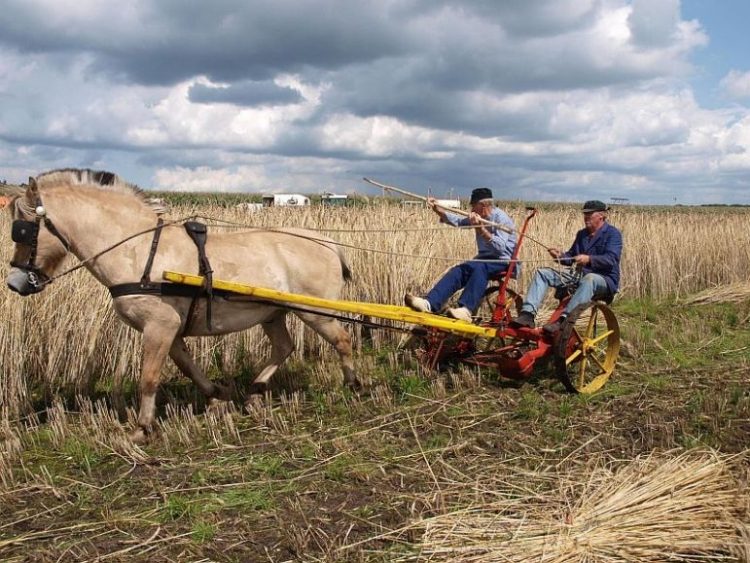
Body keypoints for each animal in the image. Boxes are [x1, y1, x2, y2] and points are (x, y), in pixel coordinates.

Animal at [4, 170, 360, 442]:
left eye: (22, 230)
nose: (14, 282)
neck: (139, 250)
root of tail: (329, 243)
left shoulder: (159, 325)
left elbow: (149, 376)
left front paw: (142, 429)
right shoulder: (170, 329)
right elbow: (187, 367)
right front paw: (217, 397)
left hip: (314, 312)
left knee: (342, 339)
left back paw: (353, 385)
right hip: (273, 313)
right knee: (284, 347)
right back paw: (255, 392)